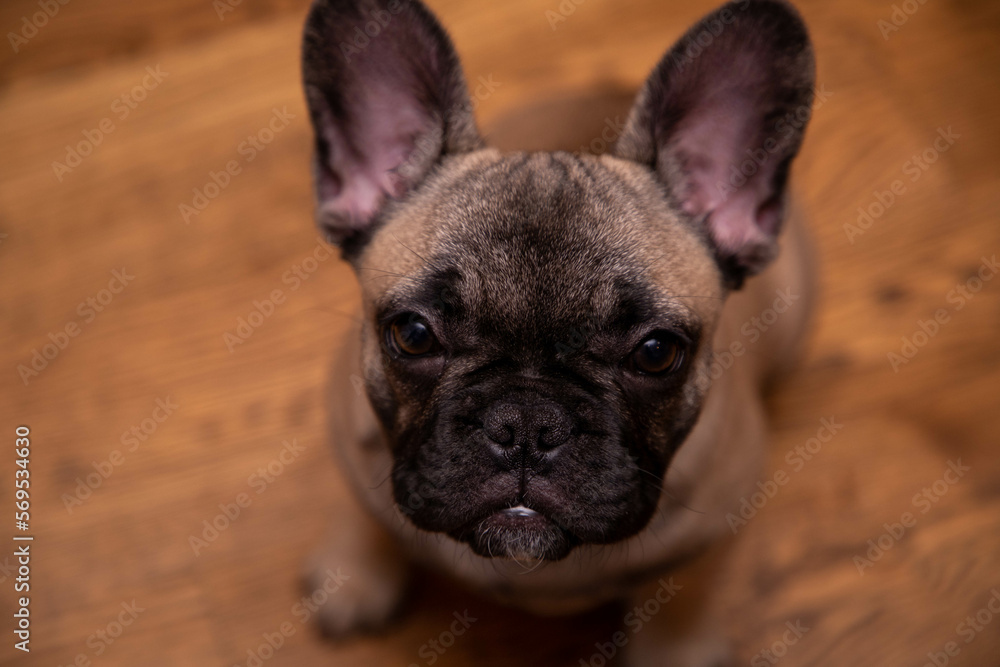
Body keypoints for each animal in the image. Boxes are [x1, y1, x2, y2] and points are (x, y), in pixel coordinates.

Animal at [300, 1, 816, 664]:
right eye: (413, 334)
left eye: (657, 353)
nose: (526, 423)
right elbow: (364, 508)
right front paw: (357, 569)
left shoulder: (720, 517)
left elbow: (687, 586)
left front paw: (678, 645)